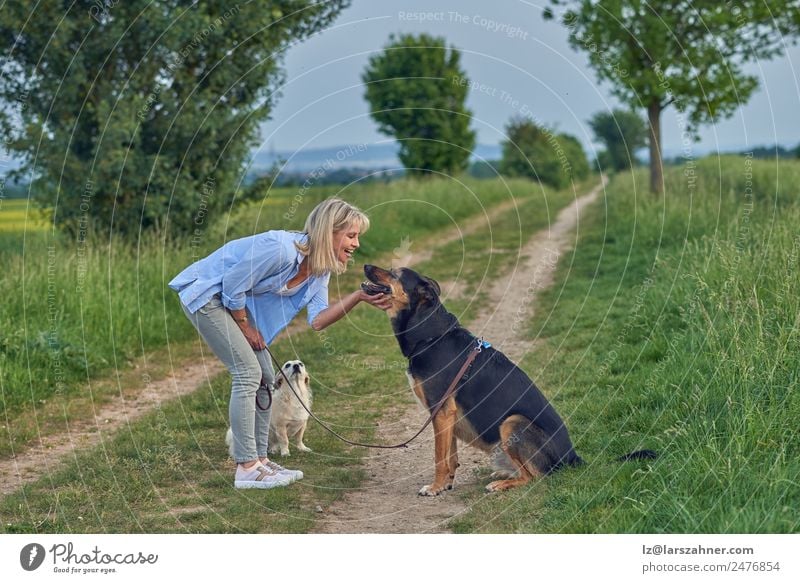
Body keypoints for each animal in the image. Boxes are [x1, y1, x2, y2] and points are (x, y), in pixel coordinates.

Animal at [366, 264, 652, 498]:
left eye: (395, 273)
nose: (366, 265)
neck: (430, 334)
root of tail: (573, 458)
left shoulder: (441, 411)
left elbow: (439, 456)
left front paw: (435, 488)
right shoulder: (447, 416)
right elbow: (451, 455)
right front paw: (446, 484)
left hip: (512, 422)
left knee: (535, 477)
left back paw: (501, 484)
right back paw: (504, 473)